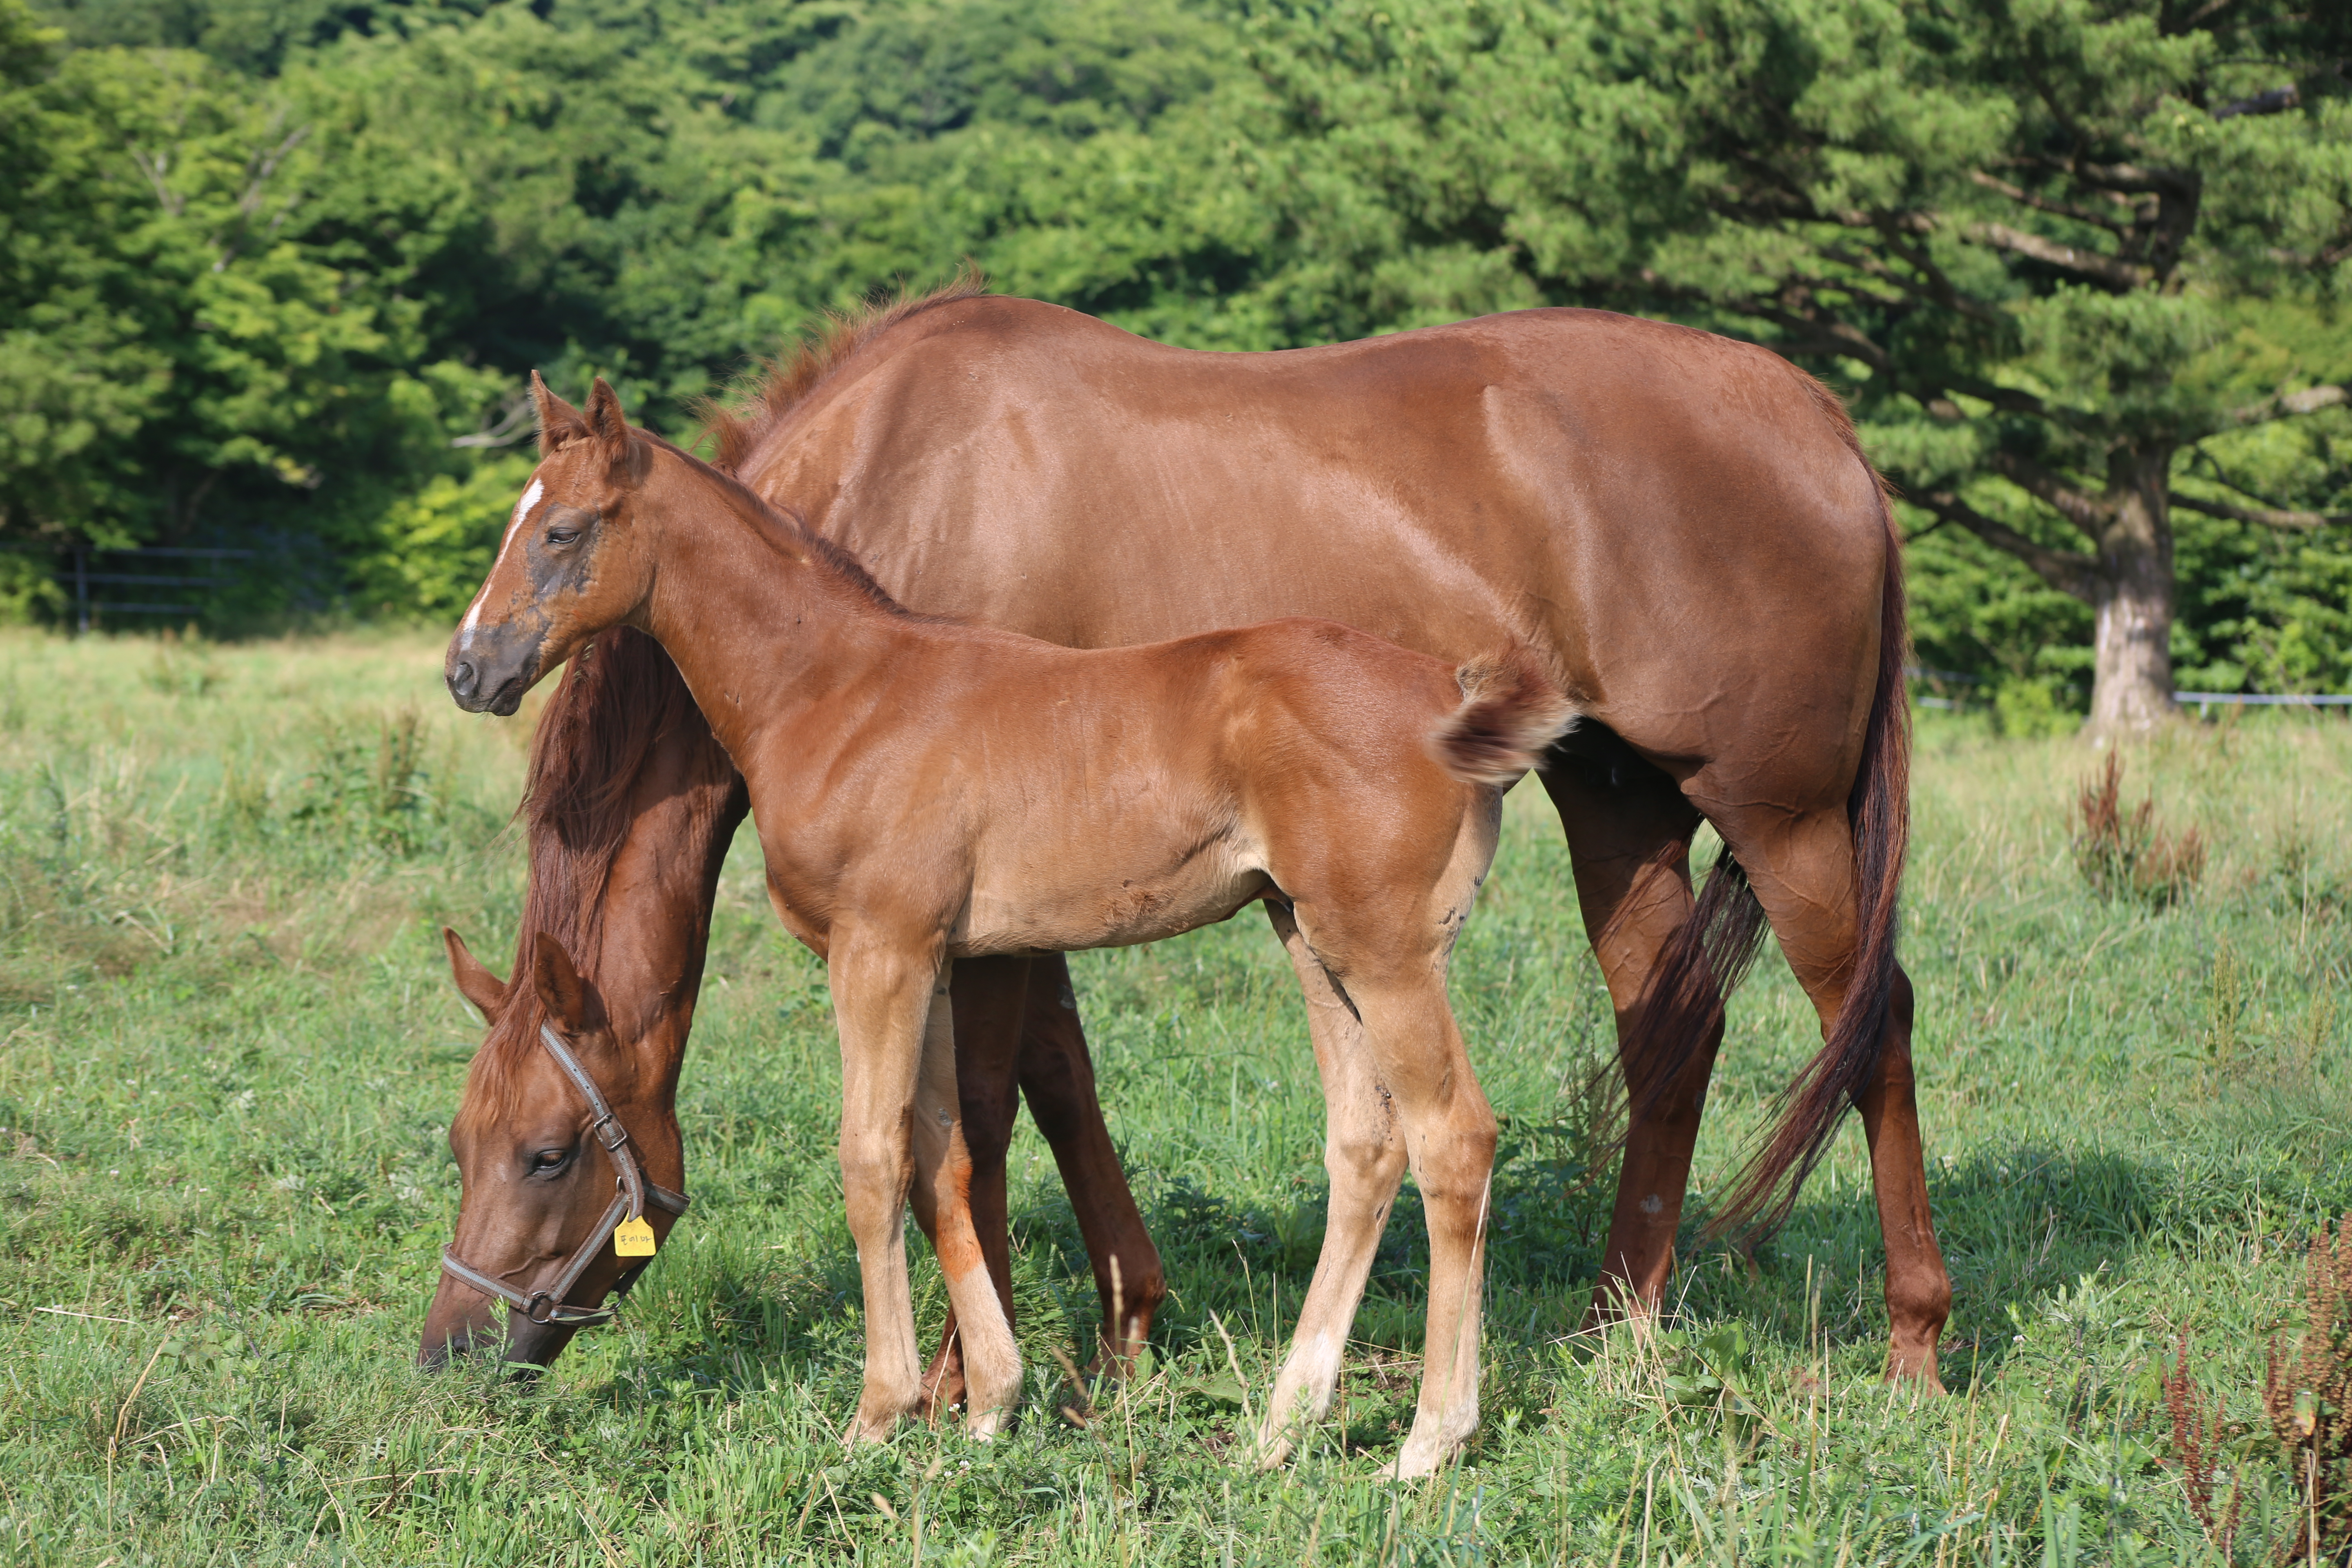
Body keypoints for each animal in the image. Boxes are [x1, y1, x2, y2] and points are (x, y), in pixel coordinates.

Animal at [421, 625, 1166, 1382]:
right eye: (457, 1145)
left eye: (548, 1157)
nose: (447, 1356)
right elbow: (1056, 1078)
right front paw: (1120, 1325)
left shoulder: (973, 925)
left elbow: (982, 1117)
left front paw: (958, 1374)